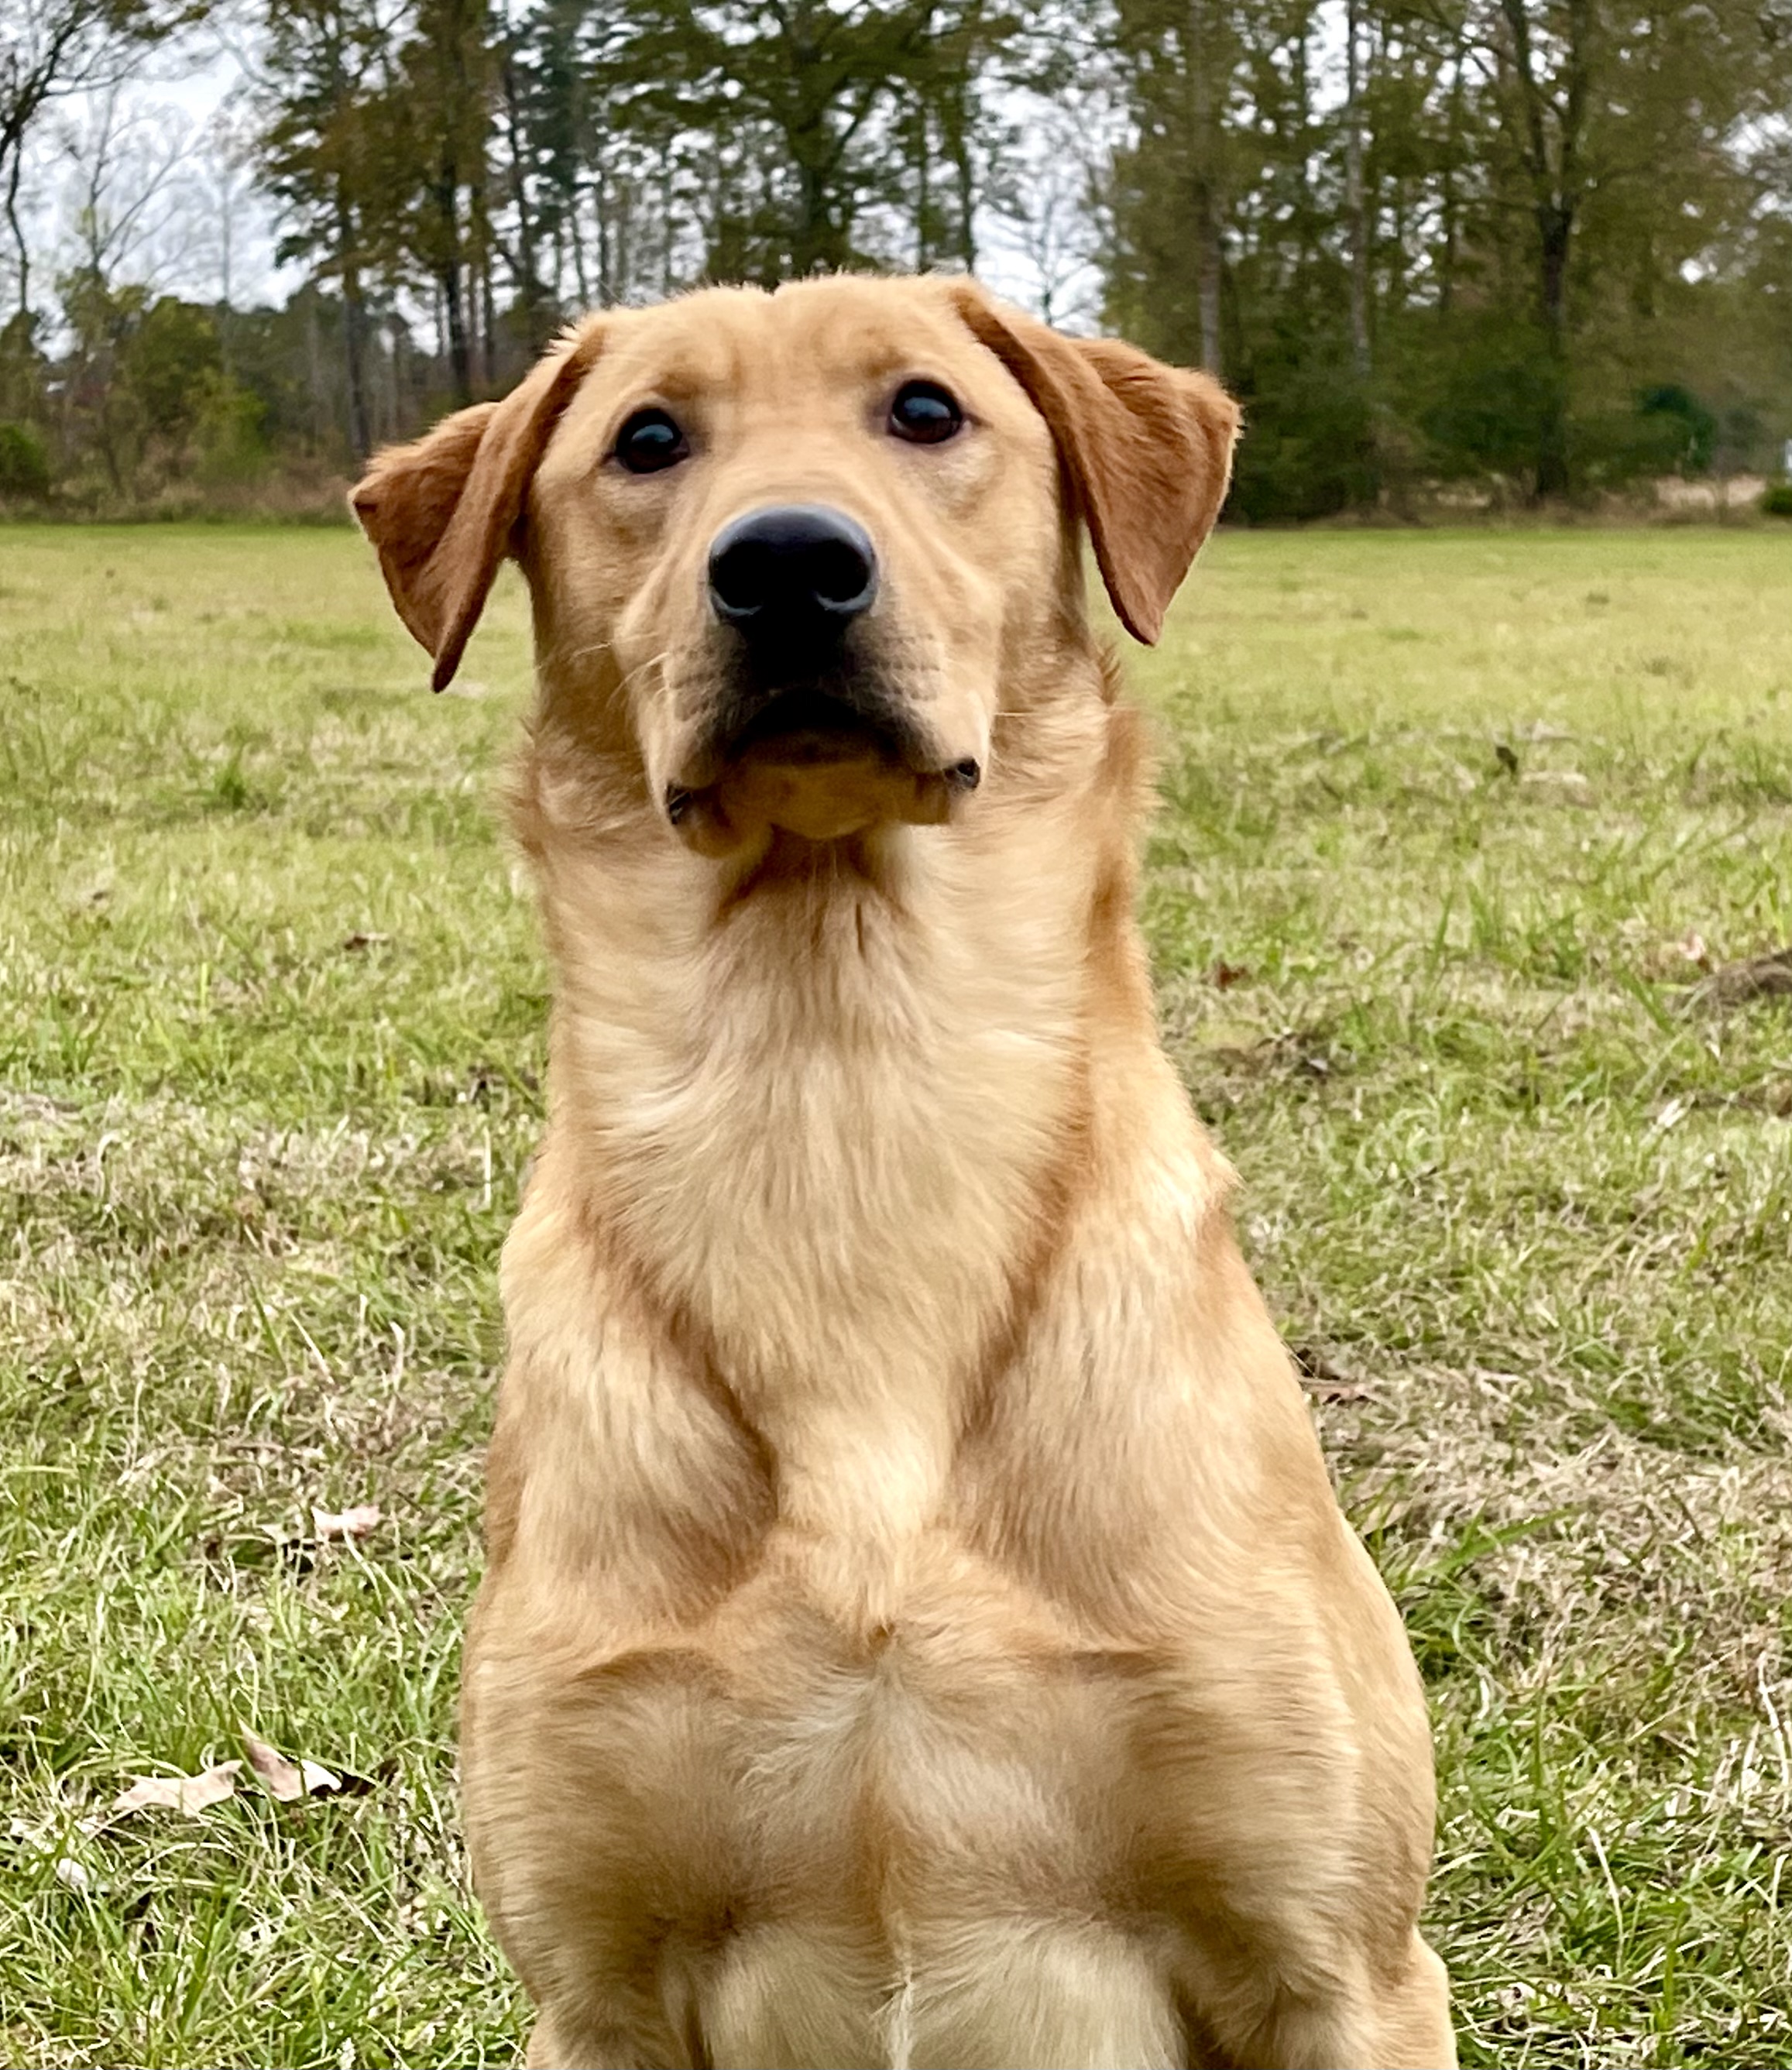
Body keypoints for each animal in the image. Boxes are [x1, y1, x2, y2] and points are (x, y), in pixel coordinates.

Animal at [352, 279, 1457, 2070]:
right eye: (645, 439)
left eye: (927, 411)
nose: (789, 563)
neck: (838, 1089)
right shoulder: (592, 1991)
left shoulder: (1342, 1968)